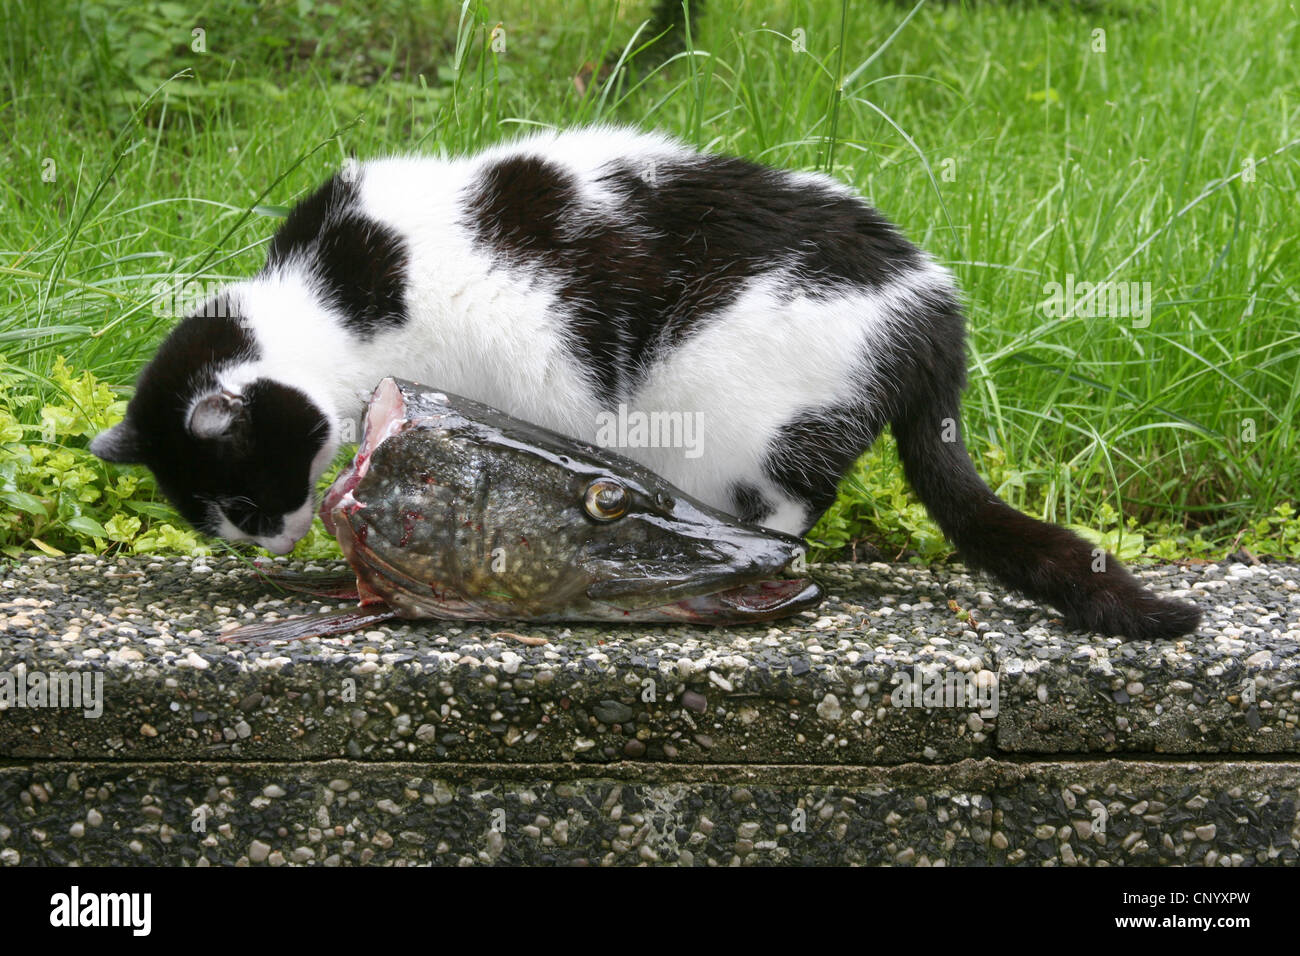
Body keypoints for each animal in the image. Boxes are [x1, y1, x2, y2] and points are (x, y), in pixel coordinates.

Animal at [94, 123, 1206, 639]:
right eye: (224, 519)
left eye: (247, 500)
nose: (269, 540)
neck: (336, 293)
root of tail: (934, 308)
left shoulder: (519, 365)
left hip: (750, 422)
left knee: (780, 512)